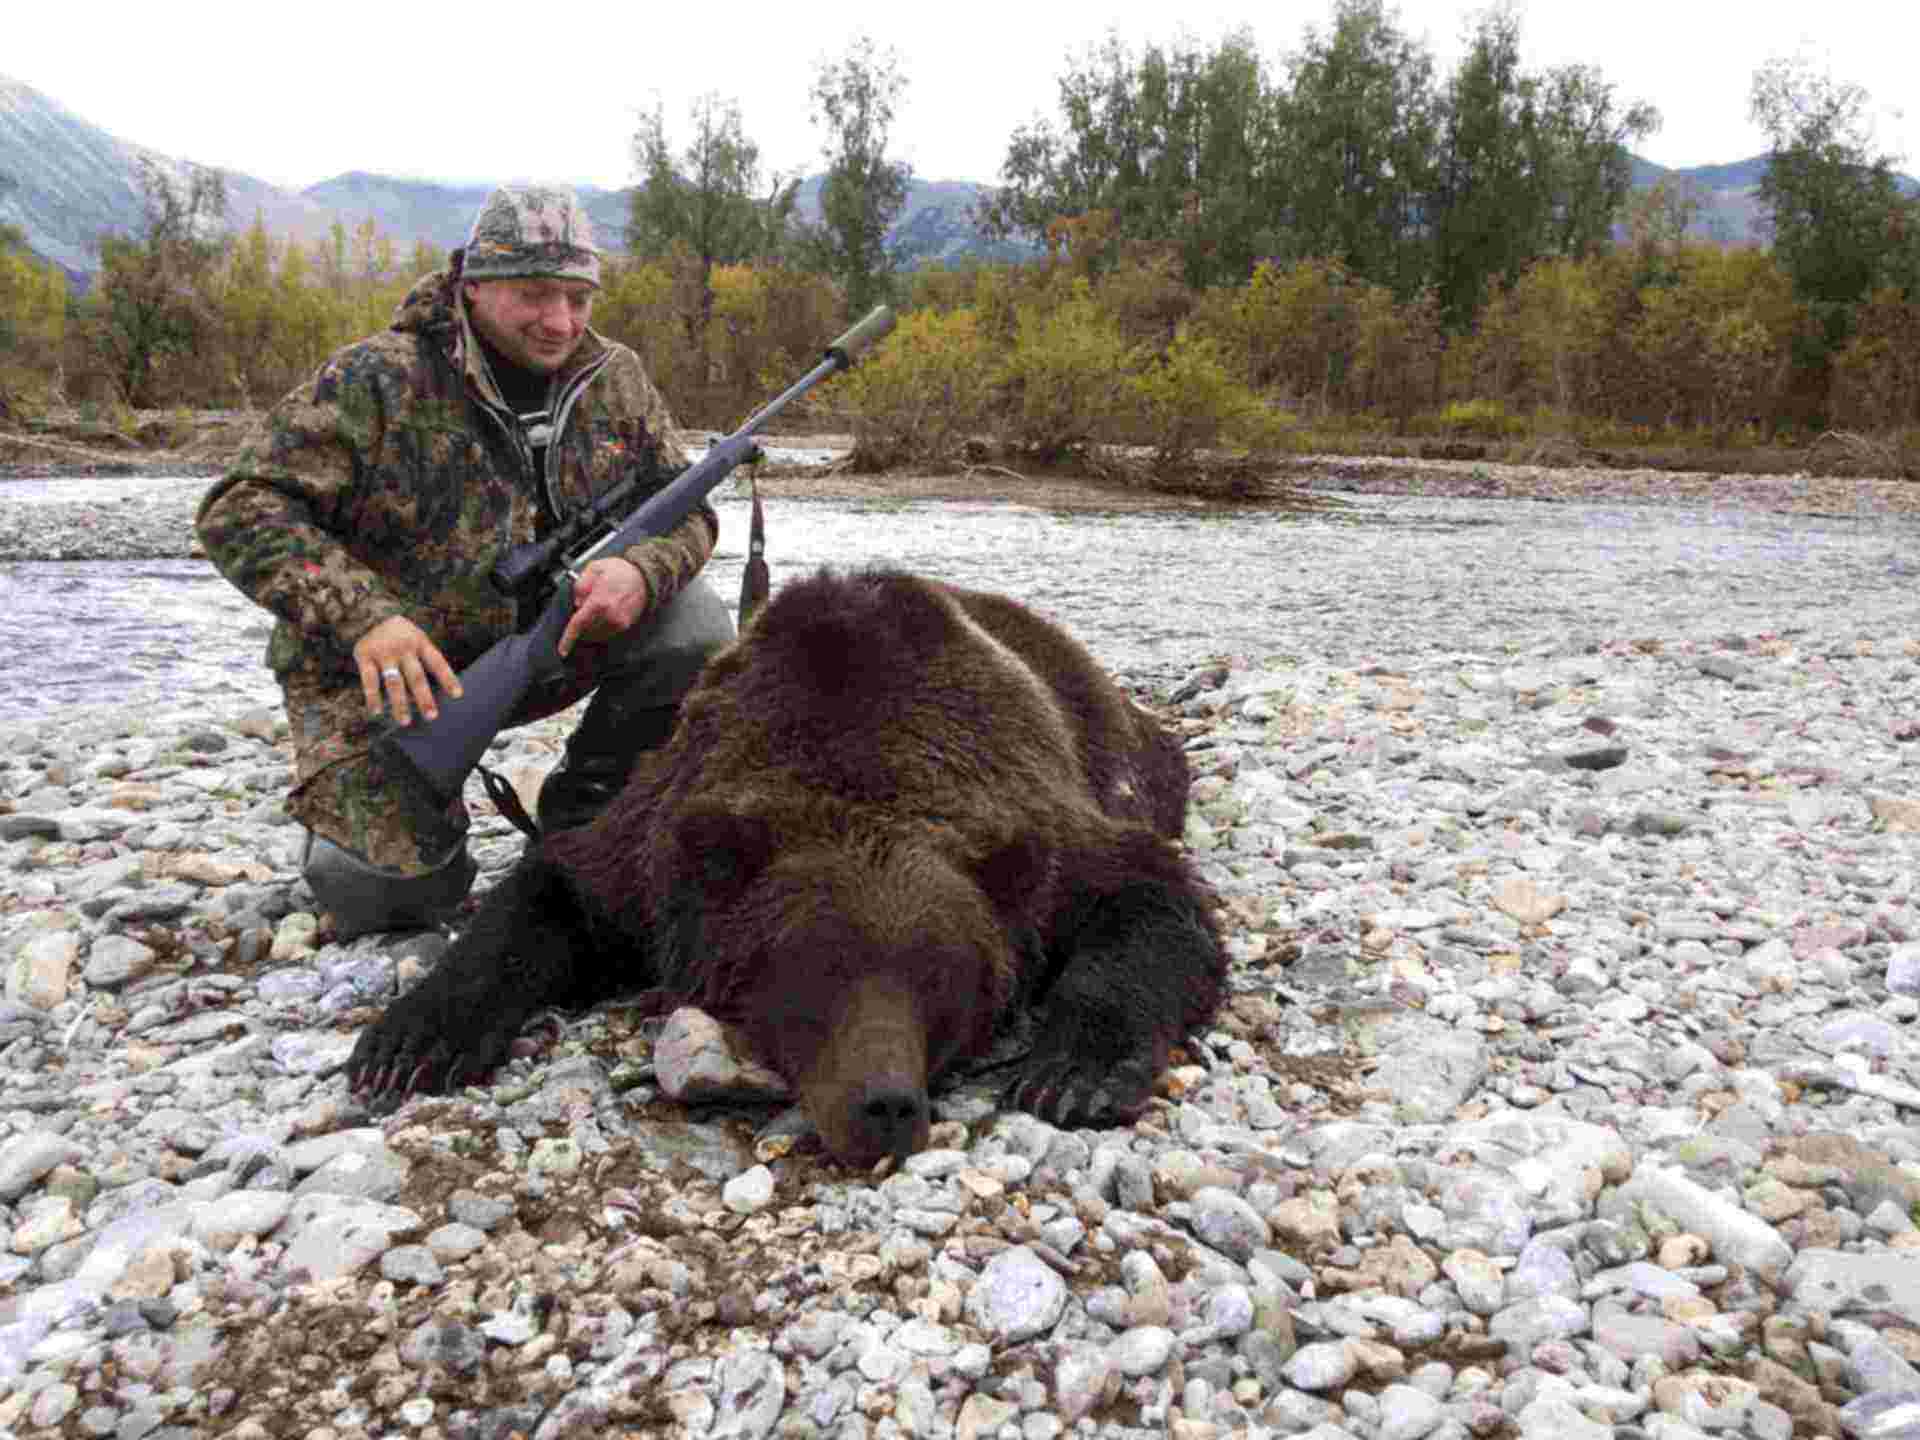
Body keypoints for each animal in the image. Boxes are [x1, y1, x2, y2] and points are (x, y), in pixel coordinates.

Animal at [347, 568, 1228, 1167]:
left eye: (943, 978)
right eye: (814, 970)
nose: (885, 1104)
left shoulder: (1037, 828)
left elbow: (1148, 896)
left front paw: (1075, 1071)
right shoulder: (656, 845)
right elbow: (551, 893)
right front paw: (408, 1043)